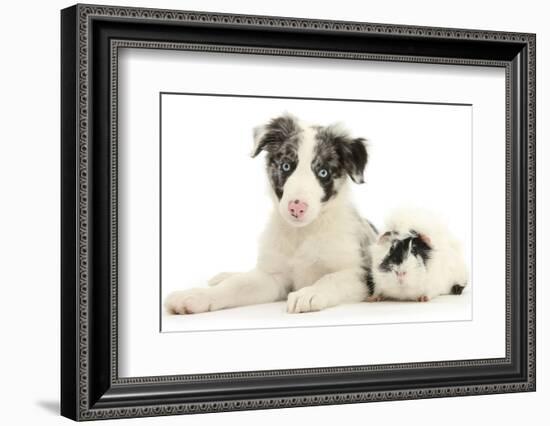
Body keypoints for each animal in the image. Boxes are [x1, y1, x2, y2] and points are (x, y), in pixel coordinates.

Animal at [165, 113, 380, 312]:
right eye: (286, 166)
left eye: (323, 172)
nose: (297, 207)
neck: (302, 233)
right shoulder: (273, 277)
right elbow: (236, 285)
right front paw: (197, 296)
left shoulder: (359, 275)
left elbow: (331, 279)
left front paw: (309, 293)